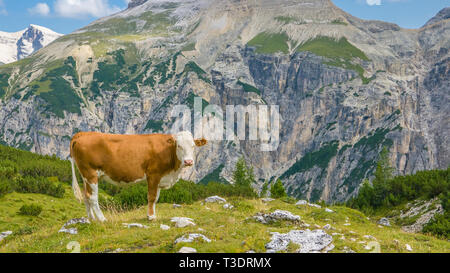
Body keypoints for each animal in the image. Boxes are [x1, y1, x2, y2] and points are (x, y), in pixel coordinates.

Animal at [69, 131, 207, 222]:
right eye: (179, 146)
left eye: (193, 146)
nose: (188, 161)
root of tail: (83, 133)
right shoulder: (153, 174)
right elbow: (151, 197)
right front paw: (151, 217)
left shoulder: (160, 179)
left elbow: (156, 198)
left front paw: (152, 215)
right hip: (91, 173)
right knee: (92, 197)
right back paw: (102, 219)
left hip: (85, 176)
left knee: (86, 195)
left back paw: (91, 219)